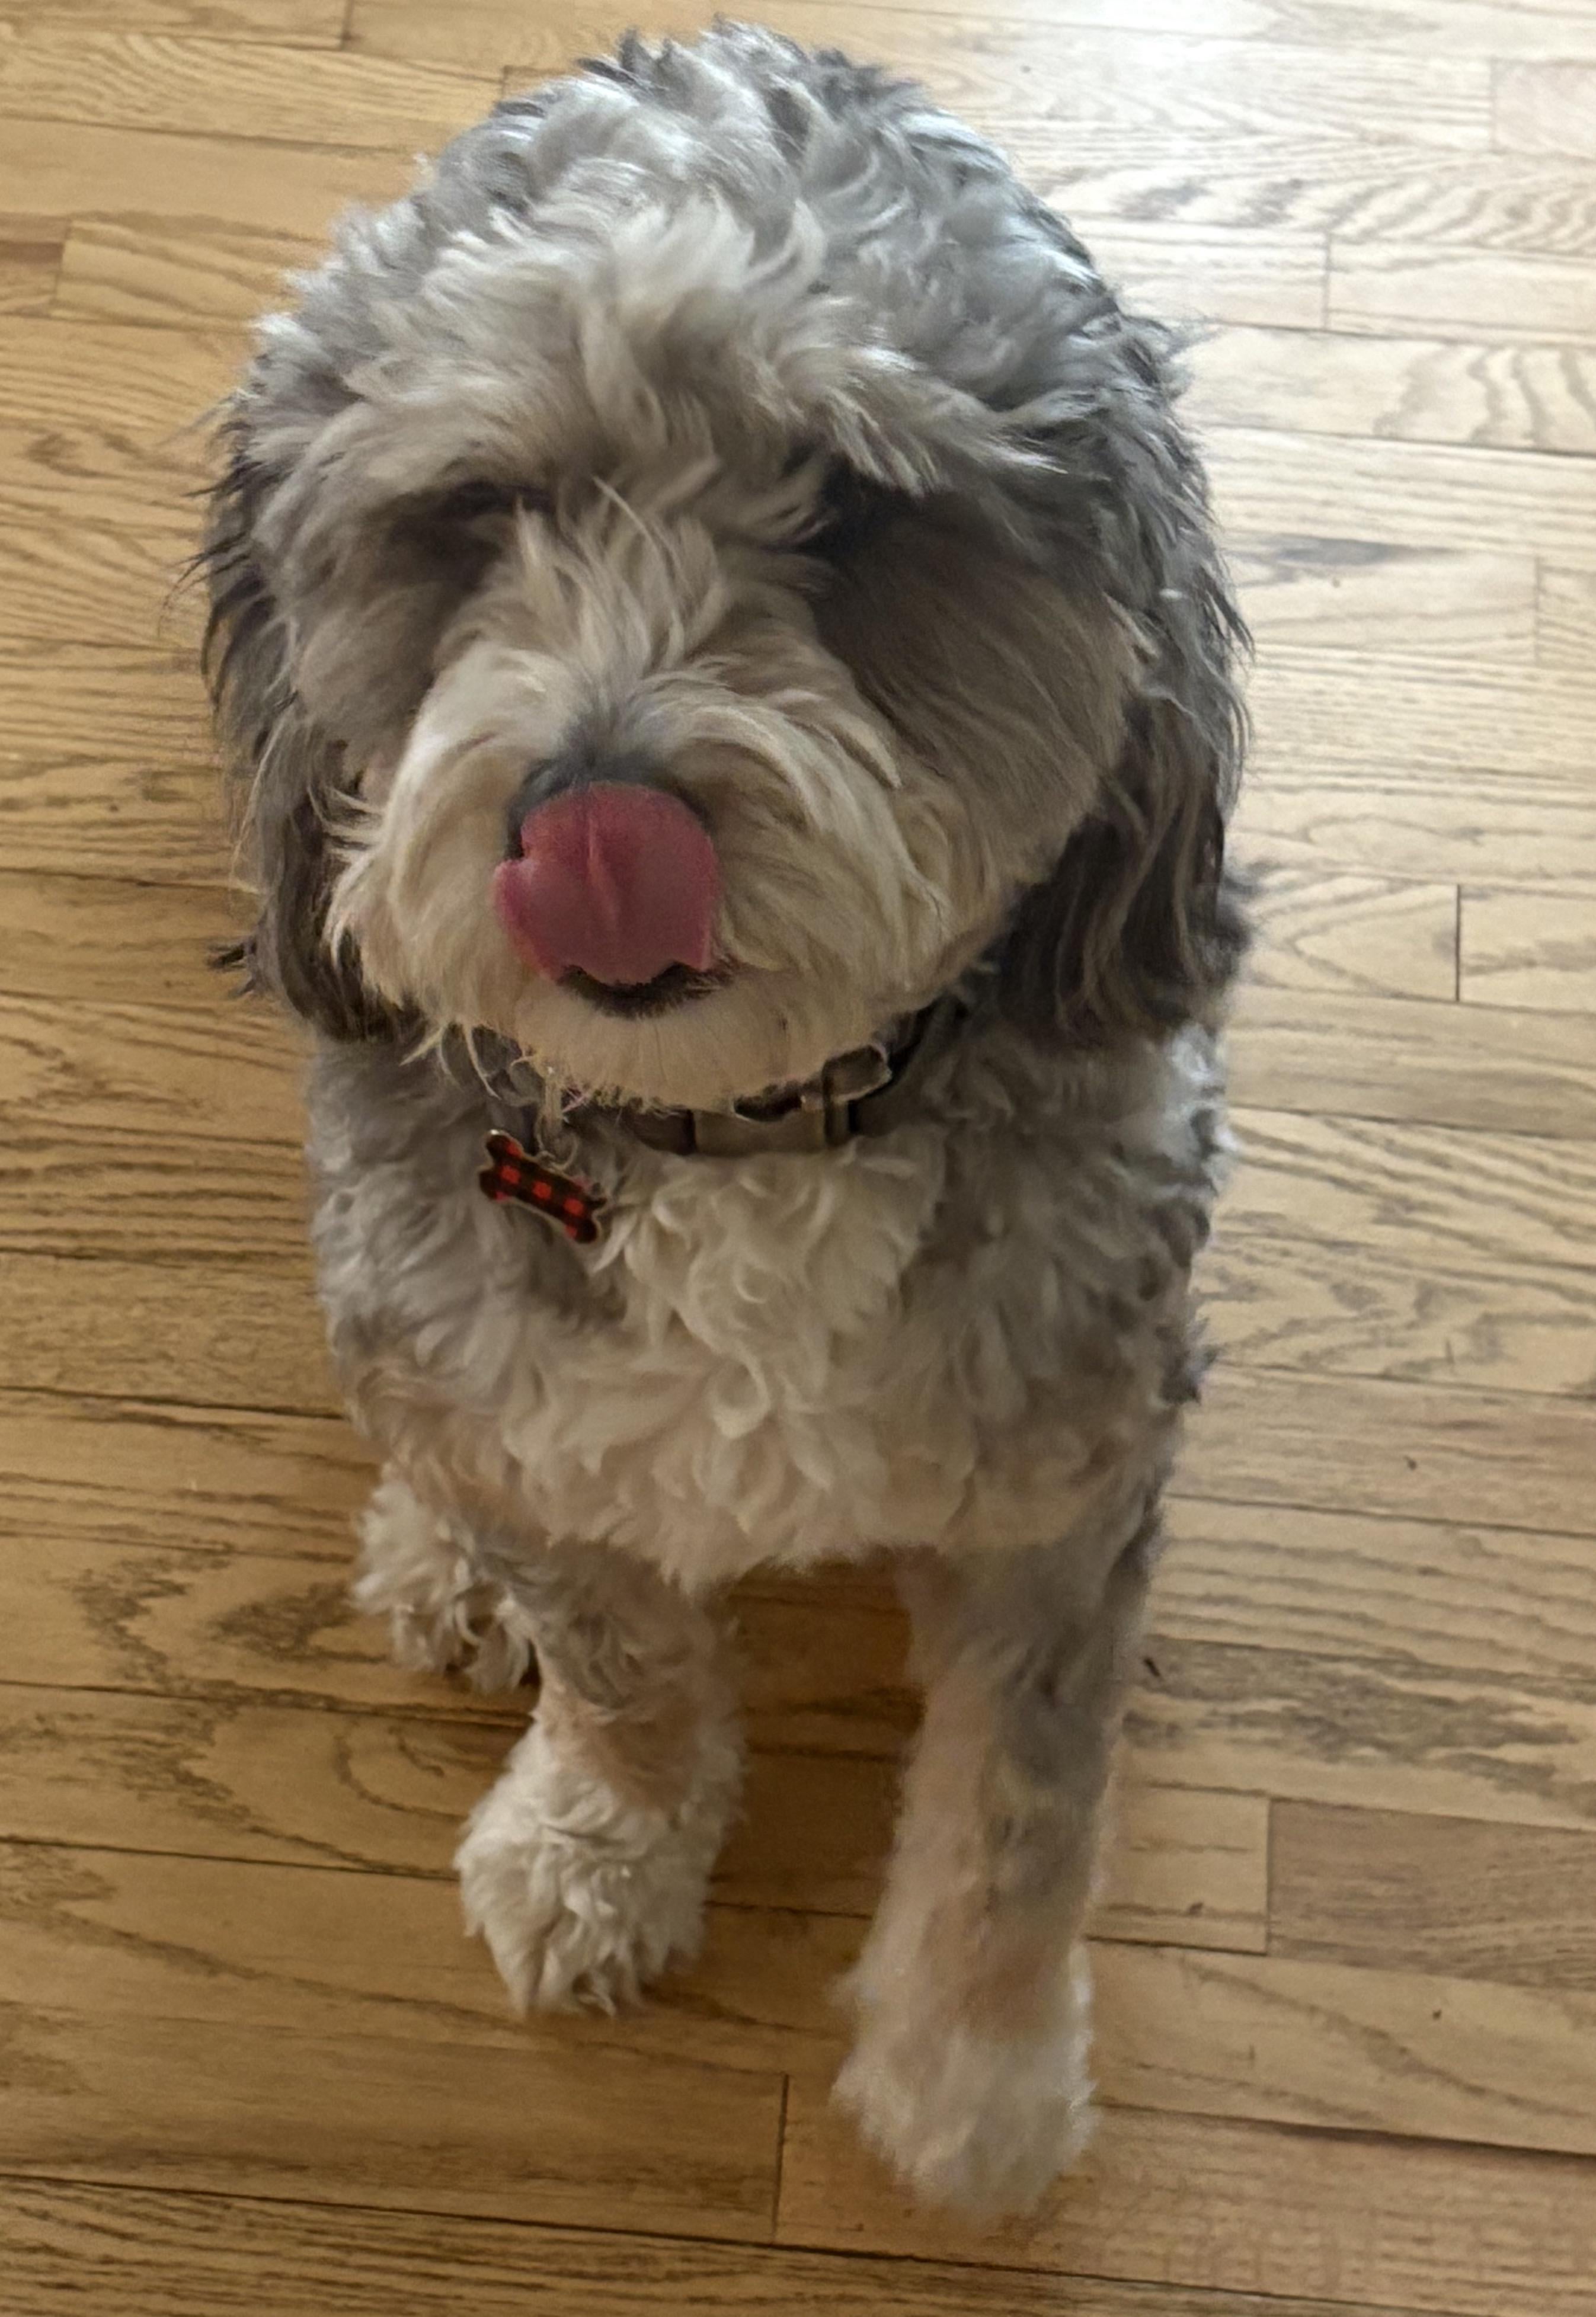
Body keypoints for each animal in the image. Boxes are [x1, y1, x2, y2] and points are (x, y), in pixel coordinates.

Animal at [202, 22, 1247, 2216]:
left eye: (851, 509)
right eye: (473, 511)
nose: (592, 821)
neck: (749, 1140)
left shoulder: (1060, 1490)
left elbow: (1018, 1811)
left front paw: (973, 2071)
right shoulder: (542, 1446)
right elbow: (620, 1667)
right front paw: (600, 1849)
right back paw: (435, 1554)